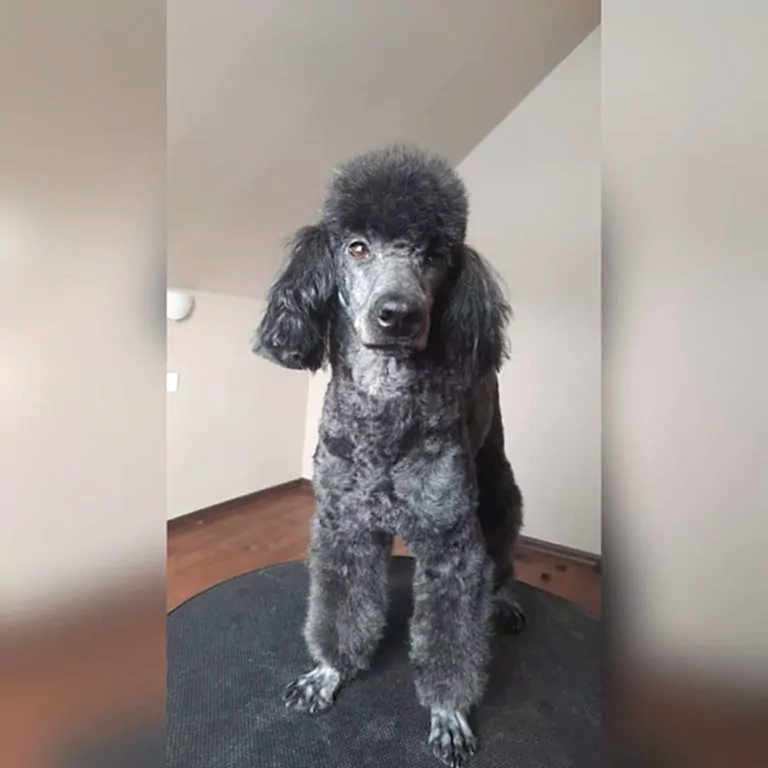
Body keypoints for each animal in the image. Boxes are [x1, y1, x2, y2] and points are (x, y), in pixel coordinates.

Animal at [253, 145, 524, 767]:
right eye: (357, 247)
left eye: (434, 255)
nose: (398, 314)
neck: (385, 407)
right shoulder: (344, 526)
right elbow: (340, 609)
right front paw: (328, 673)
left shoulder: (452, 542)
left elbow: (452, 639)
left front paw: (448, 713)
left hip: (498, 488)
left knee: (502, 556)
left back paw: (504, 602)